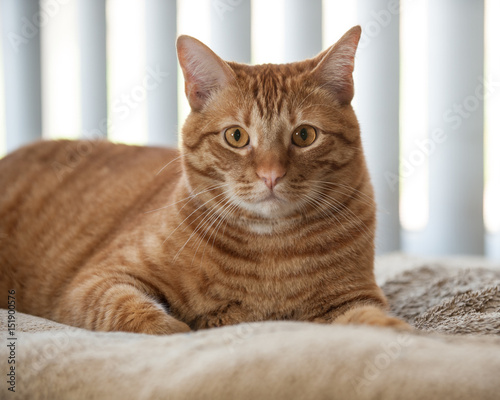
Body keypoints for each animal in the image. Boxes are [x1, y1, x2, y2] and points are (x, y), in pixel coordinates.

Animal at [0, 26, 410, 332]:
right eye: (236, 137)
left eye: (305, 135)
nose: (271, 174)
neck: (272, 252)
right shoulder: (98, 280)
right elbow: (136, 314)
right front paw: (176, 331)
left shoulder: (352, 298)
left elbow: (371, 321)